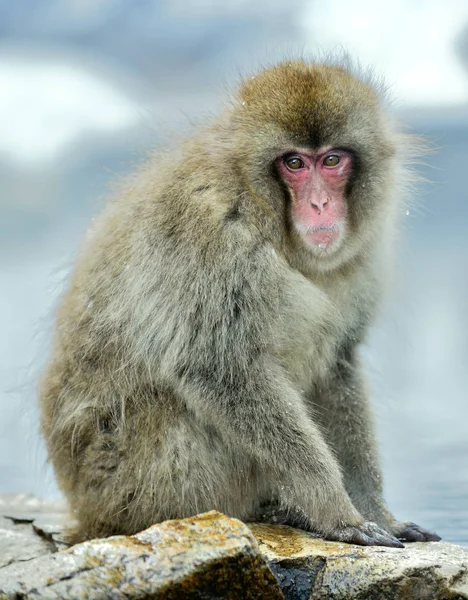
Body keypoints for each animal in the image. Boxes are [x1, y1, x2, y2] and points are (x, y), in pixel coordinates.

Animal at [39, 58, 438, 548]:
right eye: (293, 163)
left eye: (331, 159)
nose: (320, 204)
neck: (262, 211)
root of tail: (87, 512)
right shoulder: (209, 238)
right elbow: (222, 369)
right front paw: (335, 512)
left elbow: (336, 368)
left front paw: (377, 513)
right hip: (135, 481)